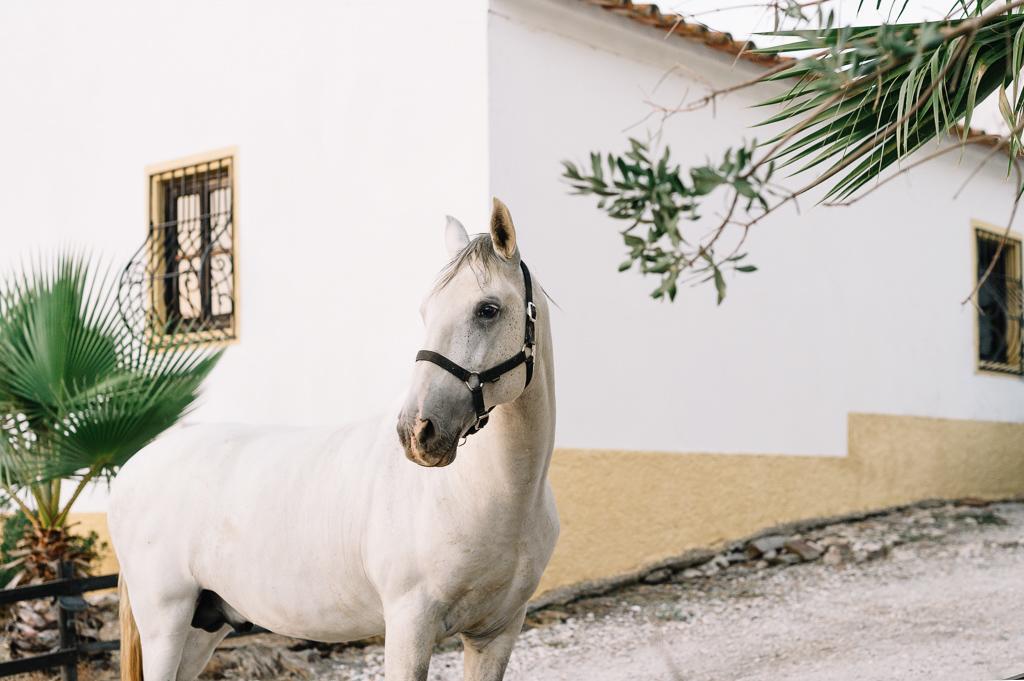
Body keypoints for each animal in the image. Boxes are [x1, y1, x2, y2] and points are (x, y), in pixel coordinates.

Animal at [109, 199, 561, 679]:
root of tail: (133, 467)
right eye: (426, 311)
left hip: (202, 629)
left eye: (487, 309)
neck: (490, 494)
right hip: (165, 624)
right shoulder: (409, 626)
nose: (417, 431)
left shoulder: (496, 634)